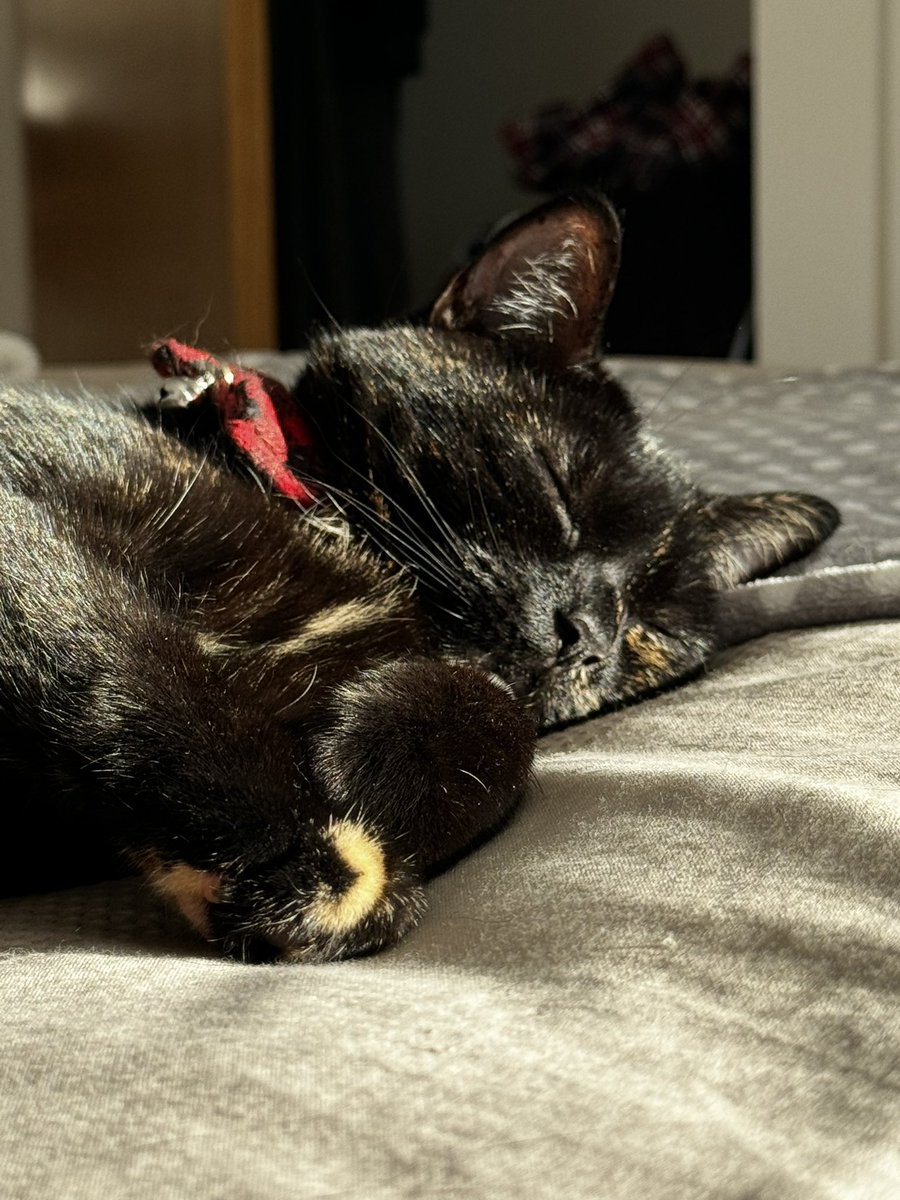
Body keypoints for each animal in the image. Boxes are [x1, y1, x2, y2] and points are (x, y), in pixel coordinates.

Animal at [0, 196, 840, 964]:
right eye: (558, 493)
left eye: (648, 628)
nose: (588, 636)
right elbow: (117, 657)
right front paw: (312, 864)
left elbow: (506, 725)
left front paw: (367, 765)